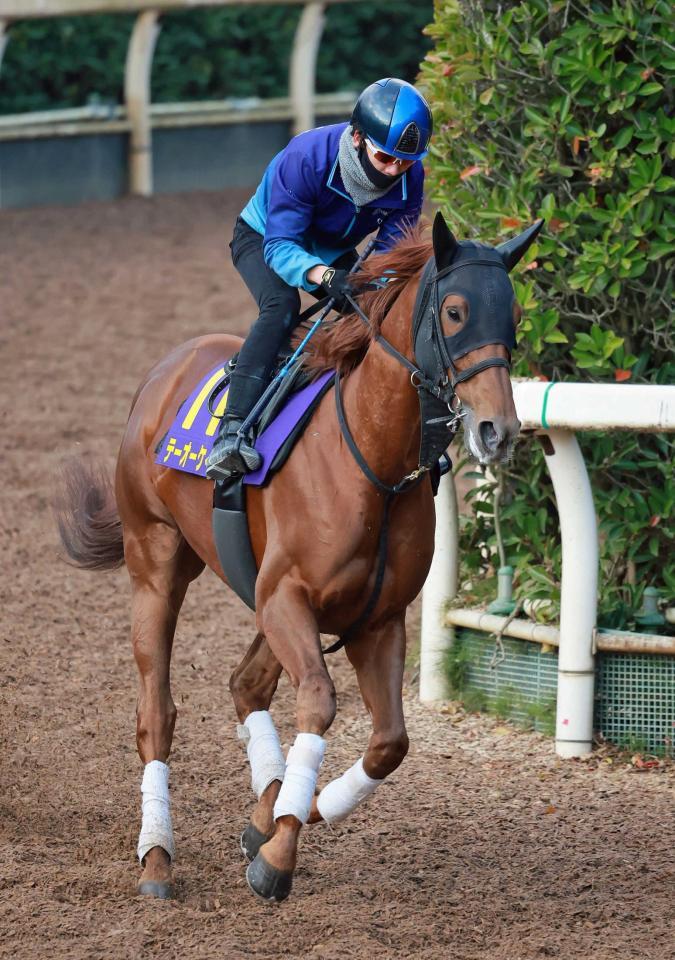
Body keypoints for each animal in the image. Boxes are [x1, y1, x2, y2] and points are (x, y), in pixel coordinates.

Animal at [56, 214, 544, 904]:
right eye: (455, 312)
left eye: (515, 316)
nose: (497, 431)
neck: (373, 462)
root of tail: (162, 372)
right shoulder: (287, 596)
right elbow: (318, 702)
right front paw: (279, 854)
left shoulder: (375, 619)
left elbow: (389, 742)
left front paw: (295, 810)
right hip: (156, 563)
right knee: (157, 713)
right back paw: (156, 855)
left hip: (262, 596)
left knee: (246, 684)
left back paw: (264, 806)